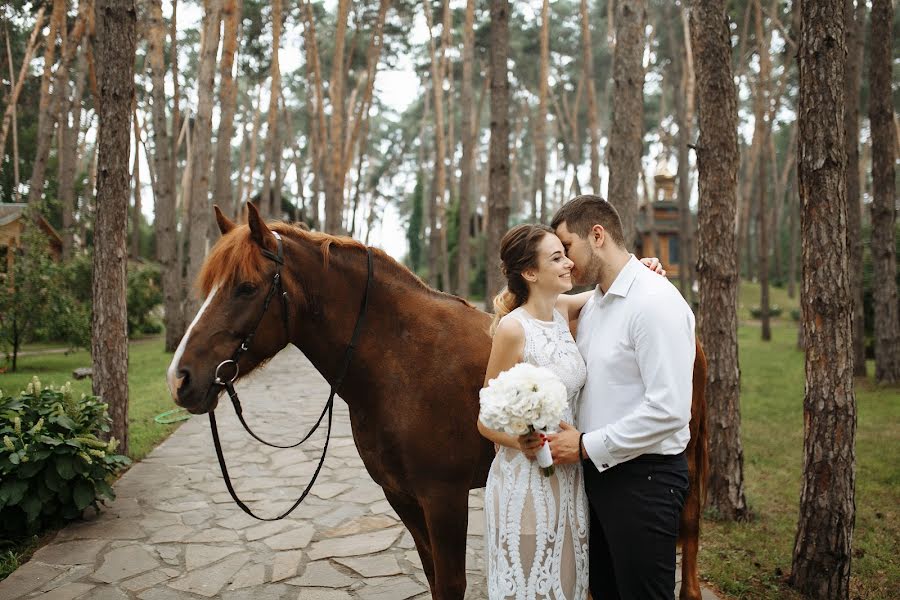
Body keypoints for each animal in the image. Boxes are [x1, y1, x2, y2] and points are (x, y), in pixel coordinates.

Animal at [165, 203, 708, 600]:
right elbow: (431, 578)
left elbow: (451, 583)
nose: (180, 378)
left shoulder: (443, 498)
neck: (401, 361)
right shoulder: (402, 496)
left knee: (687, 528)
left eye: (245, 287)